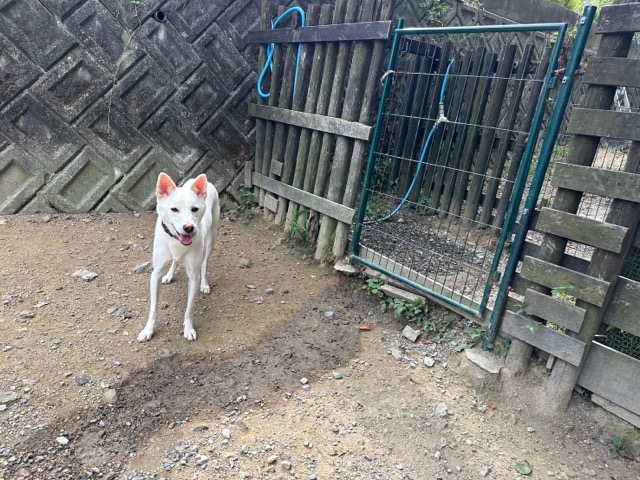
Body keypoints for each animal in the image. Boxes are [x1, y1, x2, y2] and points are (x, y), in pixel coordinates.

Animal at [137, 172, 220, 342]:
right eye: (174, 209)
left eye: (194, 209)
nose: (188, 228)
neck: (177, 241)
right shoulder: (155, 274)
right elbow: (153, 308)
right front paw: (148, 330)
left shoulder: (193, 277)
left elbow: (189, 309)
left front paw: (188, 329)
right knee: (175, 261)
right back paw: (169, 275)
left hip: (211, 239)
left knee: (204, 263)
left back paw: (205, 284)